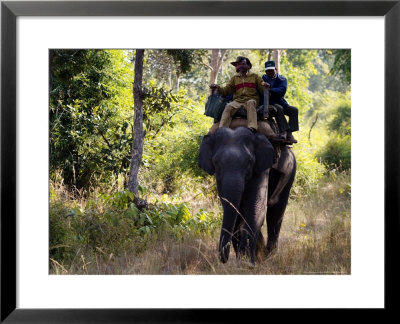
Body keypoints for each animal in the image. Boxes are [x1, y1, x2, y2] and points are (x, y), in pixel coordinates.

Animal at [198, 125, 296, 264]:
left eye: (249, 161)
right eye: (216, 162)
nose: (223, 259)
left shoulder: (261, 168)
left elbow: (256, 206)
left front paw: (246, 262)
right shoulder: (219, 178)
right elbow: (234, 208)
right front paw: (244, 258)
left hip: (291, 171)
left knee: (276, 212)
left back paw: (269, 255)